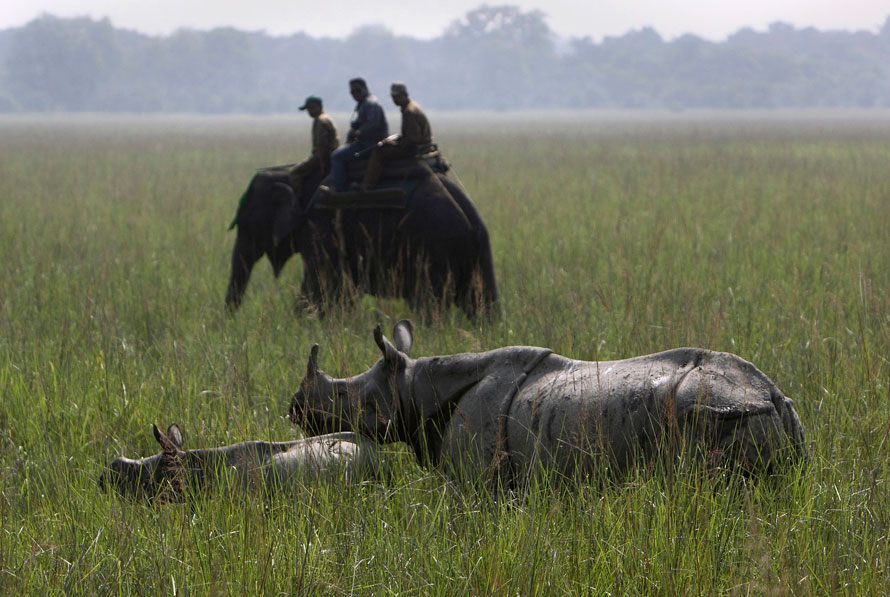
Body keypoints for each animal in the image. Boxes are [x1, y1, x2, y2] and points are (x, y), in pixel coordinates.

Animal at [289, 321, 806, 488]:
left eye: (349, 396)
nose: (295, 407)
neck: (415, 384)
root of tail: (772, 394)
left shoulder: (479, 485)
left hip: (710, 412)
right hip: (777, 417)